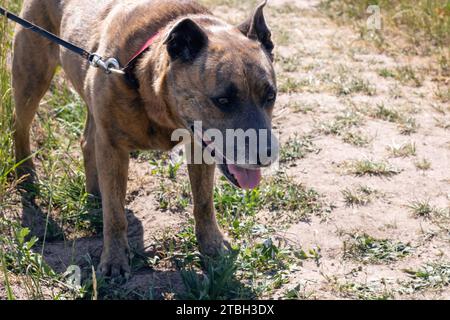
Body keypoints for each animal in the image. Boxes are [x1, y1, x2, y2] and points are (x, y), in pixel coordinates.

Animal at [12, 0, 276, 276]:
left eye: (271, 96)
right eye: (223, 100)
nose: (266, 155)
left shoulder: (198, 147)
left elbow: (204, 202)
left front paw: (211, 245)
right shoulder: (113, 147)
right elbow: (115, 215)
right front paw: (115, 259)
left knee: (87, 142)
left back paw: (95, 193)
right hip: (31, 79)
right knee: (19, 125)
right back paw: (26, 175)